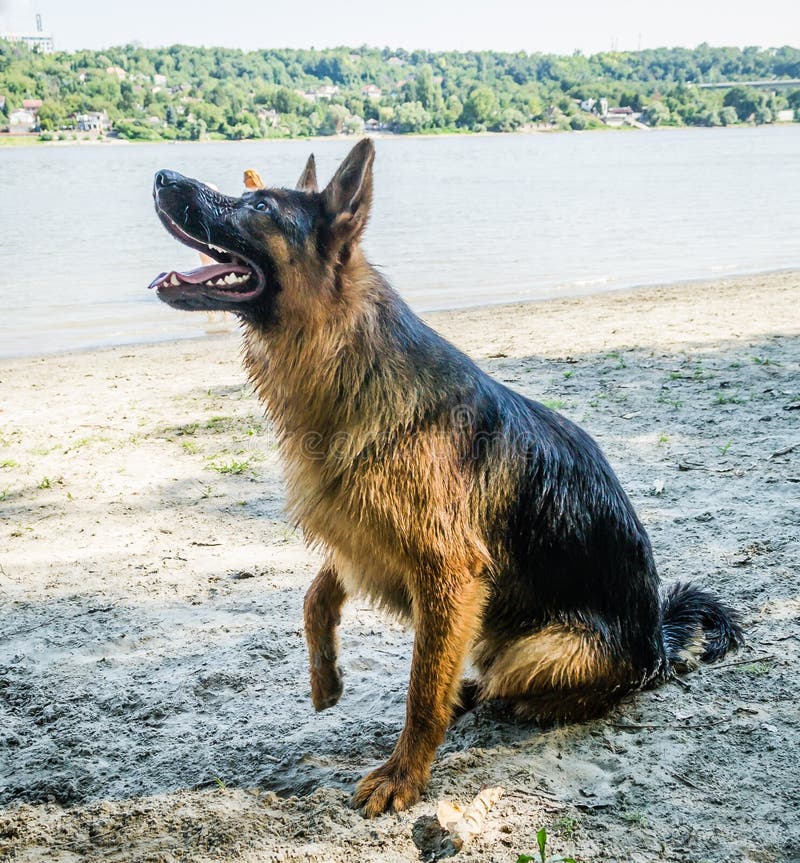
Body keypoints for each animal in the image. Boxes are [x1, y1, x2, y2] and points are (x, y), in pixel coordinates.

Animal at [152, 140, 744, 816]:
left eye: (258, 207)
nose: (161, 176)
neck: (347, 358)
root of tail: (658, 644)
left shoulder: (447, 576)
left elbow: (422, 689)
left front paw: (405, 775)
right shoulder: (361, 531)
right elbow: (316, 595)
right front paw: (325, 676)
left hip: (539, 647)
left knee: (510, 686)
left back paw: (487, 698)